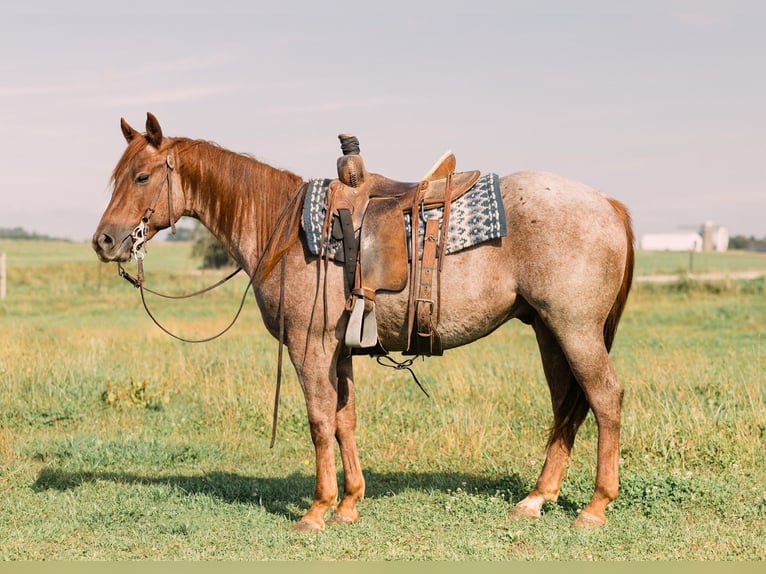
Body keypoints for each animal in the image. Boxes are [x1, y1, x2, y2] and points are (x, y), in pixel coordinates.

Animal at [92, 113, 634, 532]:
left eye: (142, 177)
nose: (104, 241)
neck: (284, 231)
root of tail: (607, 202)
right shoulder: (340, 350)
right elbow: (344, 419)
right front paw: (349, 503)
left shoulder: (307, 346)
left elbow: (318, 420)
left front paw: (317, 510)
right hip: (548, 331)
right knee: (568, 404)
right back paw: (536, 499)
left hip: (575, 330)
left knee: (604, 398)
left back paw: (595, 507)